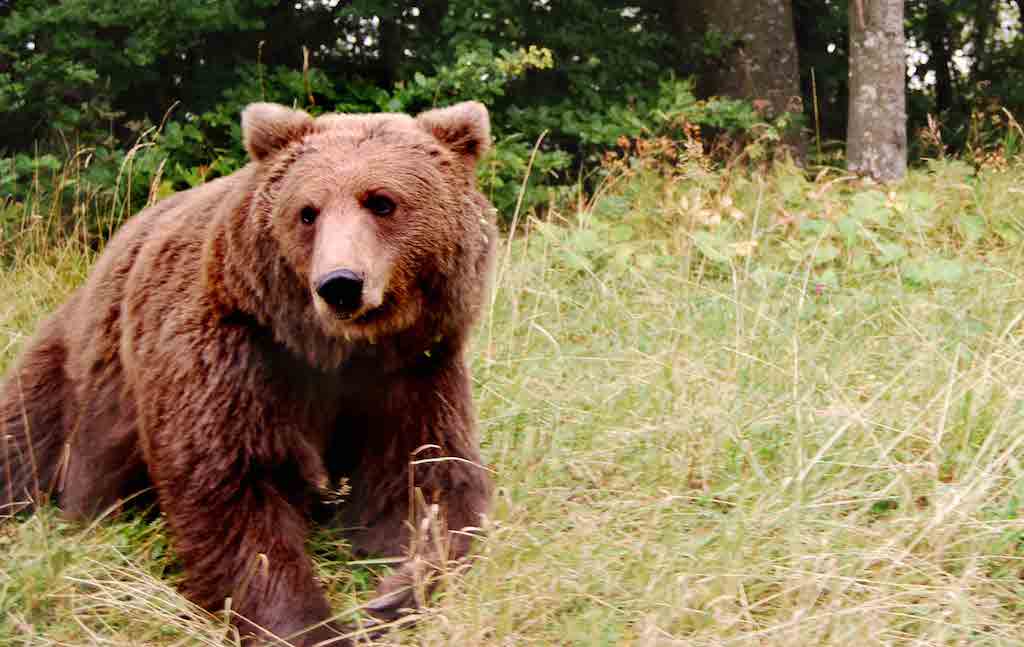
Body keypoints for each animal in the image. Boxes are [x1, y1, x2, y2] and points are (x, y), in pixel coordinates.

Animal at [0, 101, 495, 647]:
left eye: (382, 202)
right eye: (307, 211)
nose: (340, 284)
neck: (336, 352)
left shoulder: (410, 374)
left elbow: (426, 483)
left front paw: (394, 593)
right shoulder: (236, 355)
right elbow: (234, 491)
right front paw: (309, 626)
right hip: (68, 378)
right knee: (23, 445)